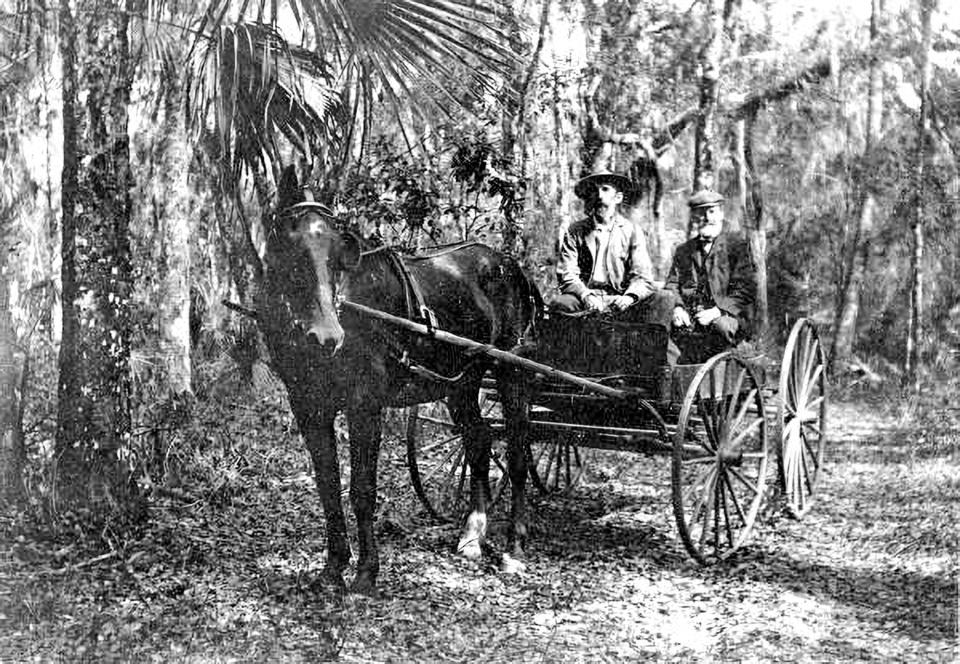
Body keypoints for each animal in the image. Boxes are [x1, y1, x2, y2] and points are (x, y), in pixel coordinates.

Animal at [255, 167, 540, 596]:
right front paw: (332, 569)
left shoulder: (365, 404)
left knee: (519, 446)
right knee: (478, 440)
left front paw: (365, 573)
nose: (326, 336)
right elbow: (327, 487)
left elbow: (361, 490)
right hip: (461, 381)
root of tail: (509, 264)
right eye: (289, 244)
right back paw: (473, 535)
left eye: (336, 251)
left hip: (510, 368)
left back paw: (515, 546)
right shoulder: (308, 405)